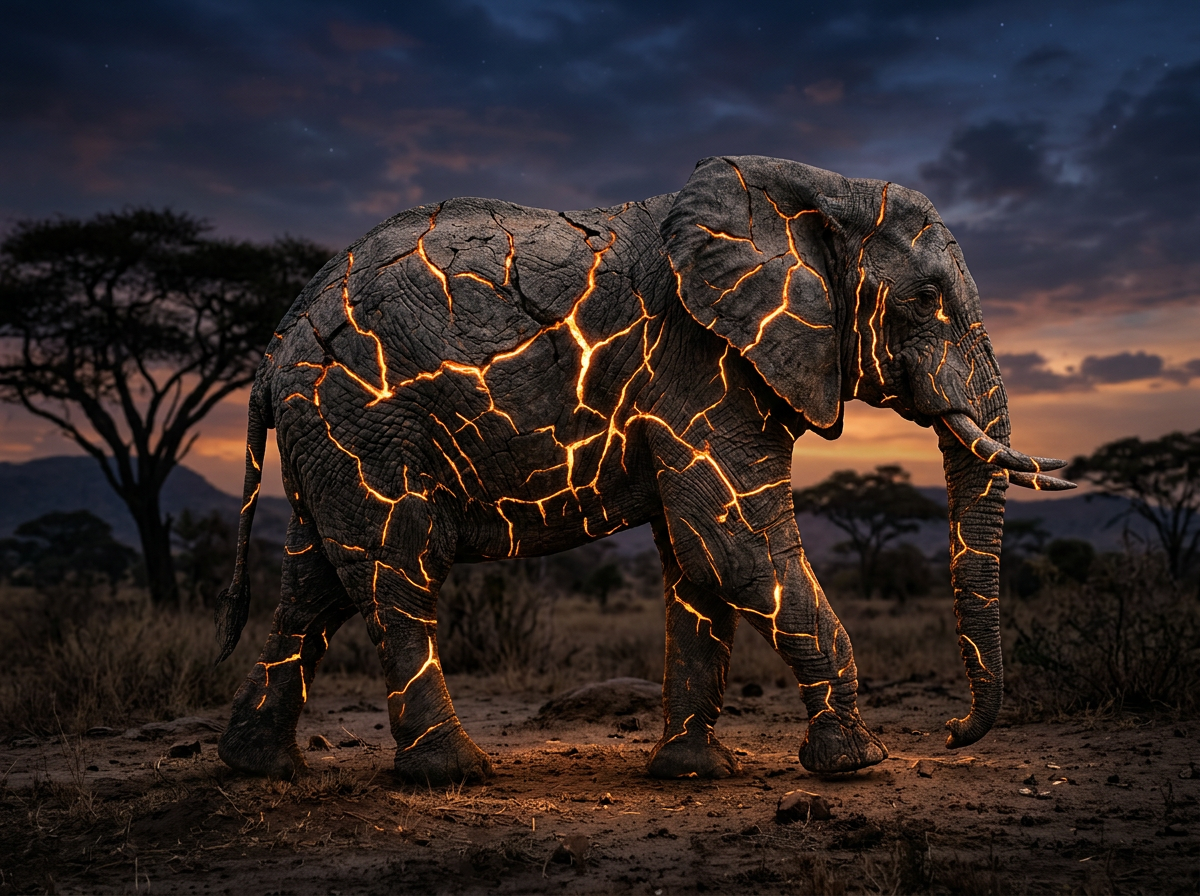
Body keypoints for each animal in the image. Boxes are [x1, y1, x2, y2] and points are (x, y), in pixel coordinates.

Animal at [214, 155, 1073, 785]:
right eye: (926, 300)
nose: (955, 733)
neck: (815, 188)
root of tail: (272, 352)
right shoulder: (699, 359)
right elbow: (733, 544)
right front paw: (857, 764)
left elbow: (697, 561)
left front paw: (696, 772)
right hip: (366, 424)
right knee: (397, 571)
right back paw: (454, 773)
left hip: (329, 440)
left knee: (314, 586)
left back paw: (260, 768)